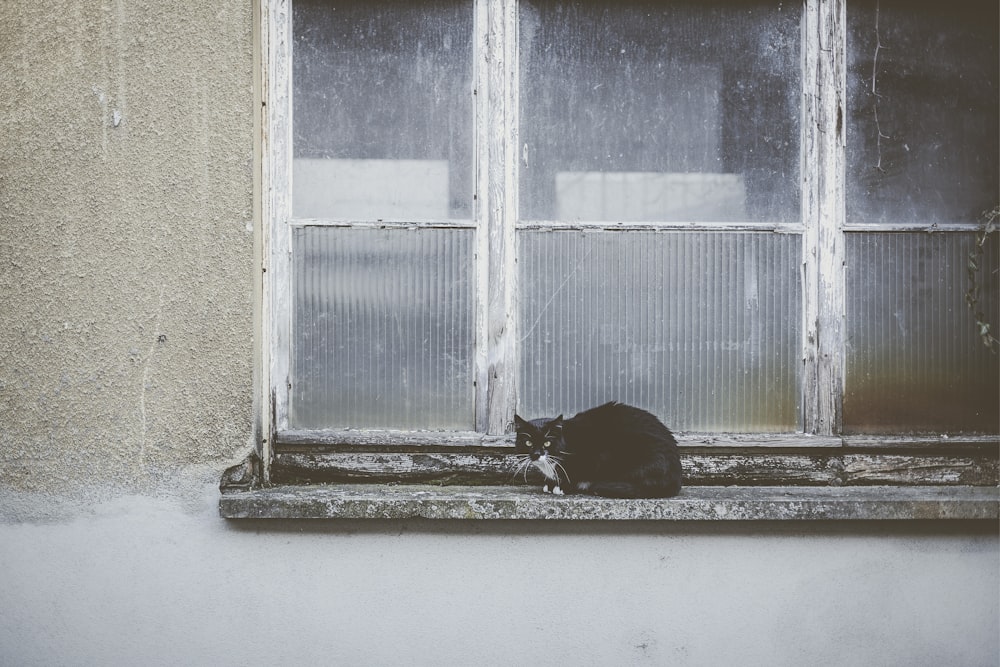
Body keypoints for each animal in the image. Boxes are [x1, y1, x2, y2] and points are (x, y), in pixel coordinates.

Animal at [516, 400, 680, 498]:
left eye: (547, 443)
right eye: (528, 443)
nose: (536, 454)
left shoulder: (592, 457)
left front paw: (562, 487)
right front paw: (551, 484)